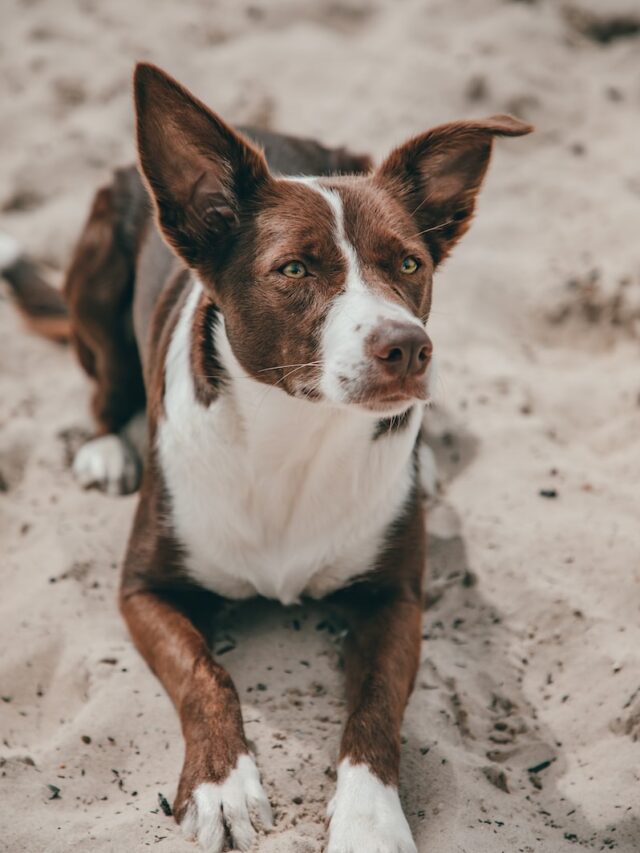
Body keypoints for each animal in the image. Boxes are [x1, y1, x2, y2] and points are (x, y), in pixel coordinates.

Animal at [0, 65, 528, 852]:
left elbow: (376, 705)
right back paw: (105, 447)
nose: (409, 347)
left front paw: (370, 817)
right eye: (295, 268)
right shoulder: (142, 590)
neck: (296, 435)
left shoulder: (396, 599)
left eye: (409, 262)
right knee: (105, 383)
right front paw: (223, 786)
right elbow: (204, 673)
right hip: (95, 274)